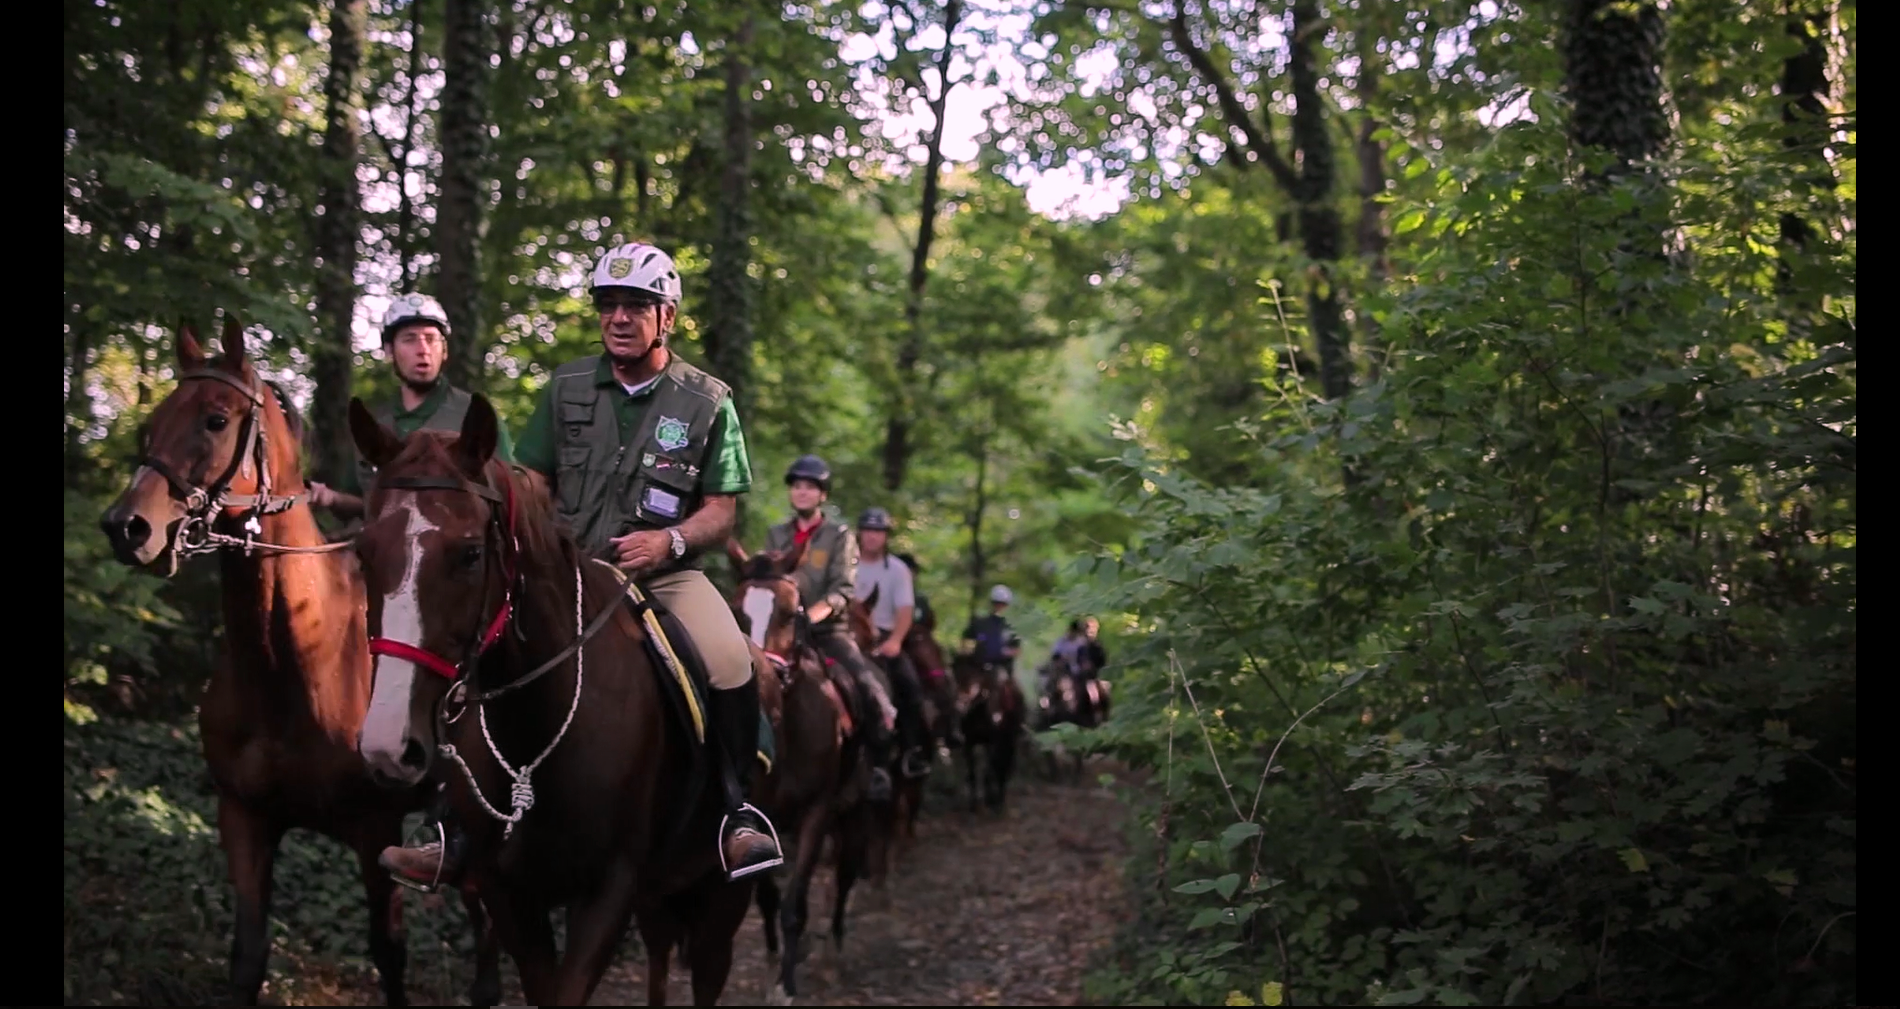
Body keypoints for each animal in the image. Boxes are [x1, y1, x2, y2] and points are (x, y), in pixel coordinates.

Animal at [97, 319, 501, 1003]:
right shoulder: (244, 820)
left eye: (215, 420)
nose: (126, 527)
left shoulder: (375, 830)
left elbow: (389, 954)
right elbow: (248, 956)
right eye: (151, 425)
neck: (291, 666)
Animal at [347, 397, 748, 1009]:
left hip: (719, 900)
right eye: (364, 553)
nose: (389, 747)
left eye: (469, 554)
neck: (537, 731)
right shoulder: (507, 891)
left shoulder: (608, 891)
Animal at [725, 535, 881, 1003]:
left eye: (790, 611)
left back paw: (831, 956)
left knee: (844, 877)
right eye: (737, 608)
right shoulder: (763, 815)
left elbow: (794, 905)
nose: (760, 670)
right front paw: (773, 967)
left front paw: (786, 986)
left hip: (855, 812)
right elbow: (768, 899)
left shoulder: (817, 813)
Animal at [950, 653, 1026, 813]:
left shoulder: (993, 742)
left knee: (1003, 766)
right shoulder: (969, 743)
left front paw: (990, 800)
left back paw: (999, 799)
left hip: (1009, 739)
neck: (979, 713)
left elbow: (988, 772)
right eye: (955, 677)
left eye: (974, 681)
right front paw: (974, 804)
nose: (960, 705)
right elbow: (972, 773)